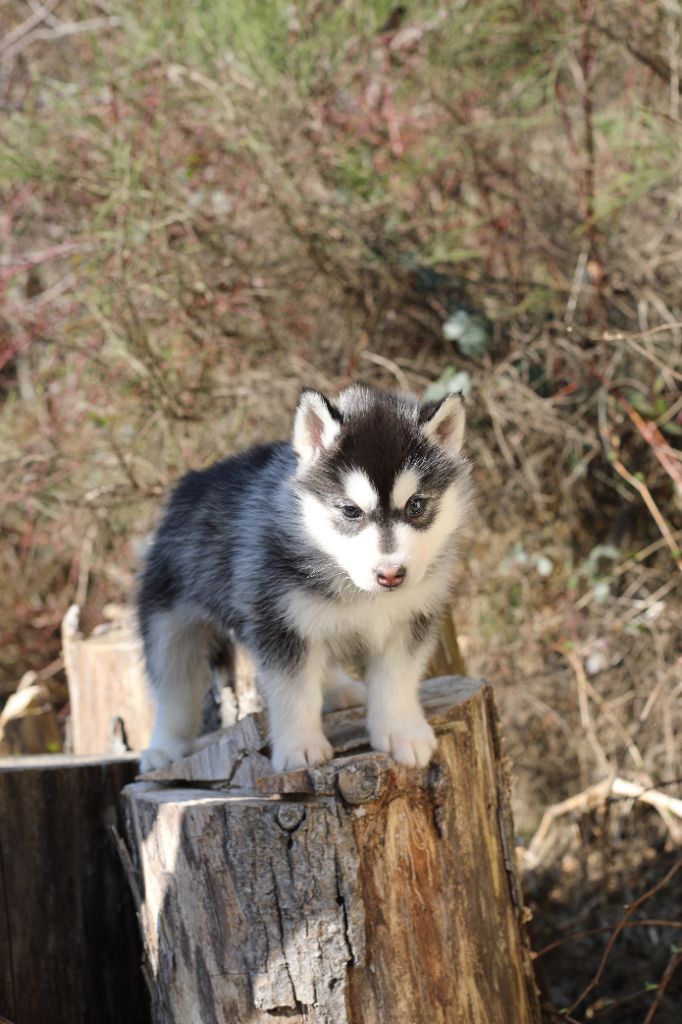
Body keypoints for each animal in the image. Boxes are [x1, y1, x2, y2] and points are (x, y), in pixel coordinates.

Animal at [136, 385, 471, 770]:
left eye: (416, 505)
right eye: (350, 511)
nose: (390, 575)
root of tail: (194, 480)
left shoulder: (411, 618)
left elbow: (396, 679)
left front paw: (402, 731)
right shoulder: (280, 623)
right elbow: (294, 692)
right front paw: (301, 748)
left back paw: (339, 689)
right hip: (170, 619)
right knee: (174, 685)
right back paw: (164, 747)